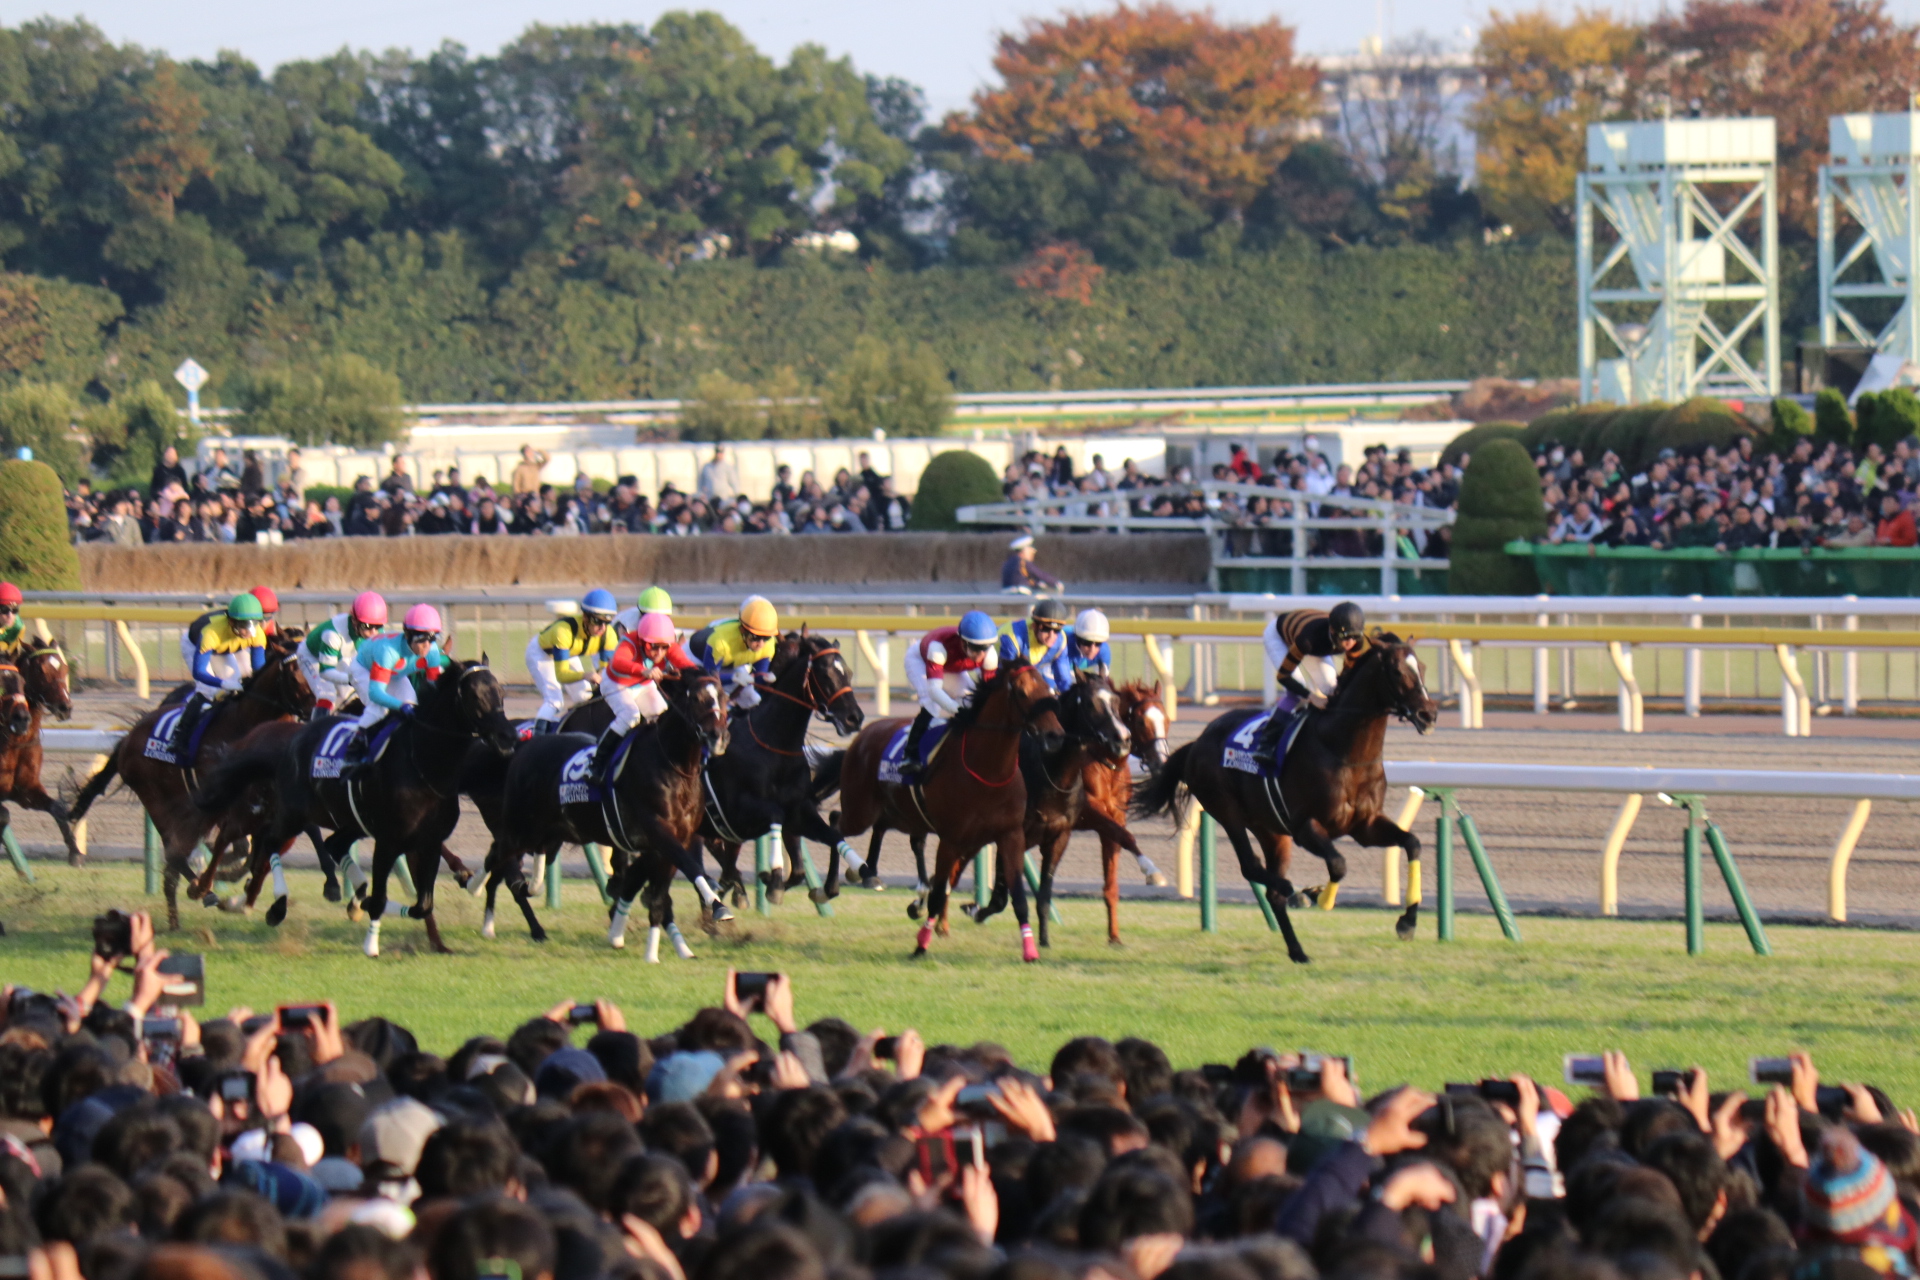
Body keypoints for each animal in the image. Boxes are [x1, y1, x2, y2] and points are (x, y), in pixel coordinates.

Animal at [70, 640, 311, 932]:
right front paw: (219, 879)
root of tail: (128, 738)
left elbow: (254, 851)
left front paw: (238, 884)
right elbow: (236, 845)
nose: (314, 708)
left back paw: (184, 910)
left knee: (178, 857)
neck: (246, 723)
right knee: (174, 853)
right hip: (158, 800)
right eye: (294, 676)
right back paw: (199, 892)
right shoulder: (227, 802)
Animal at [192, 667, 518, 955]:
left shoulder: (430, 842)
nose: (508, 737)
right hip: (293, 814)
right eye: (475, 696)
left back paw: (354, 894)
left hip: (349, 821)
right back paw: (276, 906)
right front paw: (370, 943)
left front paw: (364, 903)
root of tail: (293, 740)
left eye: (501, 692)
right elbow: (384, 897)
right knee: (271, 842)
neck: (423, 765)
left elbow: (421, 904)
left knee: (332, 844)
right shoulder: (388, 842)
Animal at [491, 675, 729, 955]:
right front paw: (718, 905)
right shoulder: (659, 831)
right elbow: (687, 867)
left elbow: (657, 895)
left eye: (724, 697)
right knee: (498, 857)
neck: (674, 765)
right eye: (697, 698)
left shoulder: (675, 840)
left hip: (550, 834)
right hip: (521, 829)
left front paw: (663, 950)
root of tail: (525, 746)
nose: (719, 737)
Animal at [840, 667, 1067, 967]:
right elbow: (938, 895)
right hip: (858, 811)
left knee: (883, 829)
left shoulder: (1010, 836)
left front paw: (1030, 951)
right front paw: (920, 946)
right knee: (834, 823)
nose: (1055, 735)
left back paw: (870, 875)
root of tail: (865, 733)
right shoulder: (951, 839)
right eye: (1021, 692)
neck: (988, 770)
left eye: (1049, 689)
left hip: (900, 814)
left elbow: (1018, 898)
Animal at [1128, 637, 1436, 967]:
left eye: (1422, 667)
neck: (1344, 751)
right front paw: (1320, 896)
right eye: (1397, 671)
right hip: (1227, 811)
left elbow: (1413, 843)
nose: (1428, 715)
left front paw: (1408, 922)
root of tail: (1197, 742)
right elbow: (1339, 864)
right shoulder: (1304, 827)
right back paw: (1294, 892)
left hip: (1271, 830)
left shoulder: (1365, 826)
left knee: (1273, 889)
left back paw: (1297, 949)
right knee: (1252, 868)